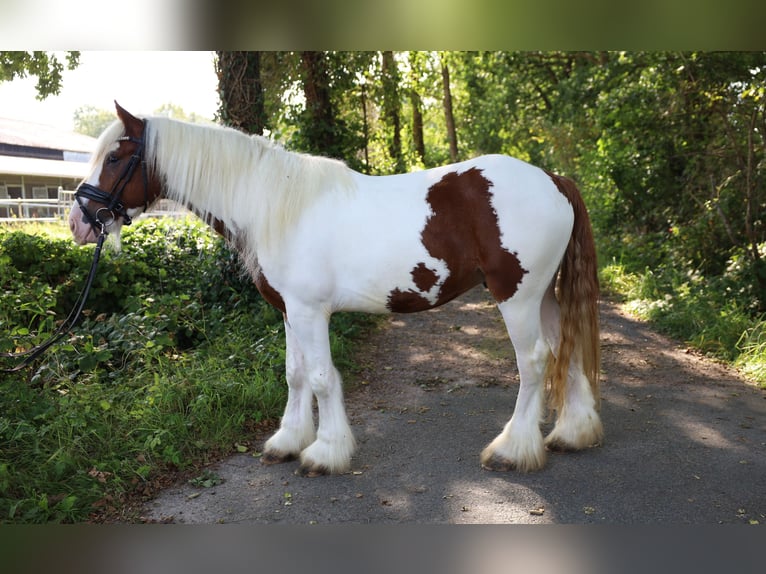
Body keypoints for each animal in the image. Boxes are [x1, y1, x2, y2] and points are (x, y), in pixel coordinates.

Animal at [69, 102, 604, 476]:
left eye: (115, 156)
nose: (78, 221)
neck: (274, 204)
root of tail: (554, 179)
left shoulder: (310, 312)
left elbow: (323, 377)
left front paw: (325, 452)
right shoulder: (289, 312)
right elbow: (294, 374)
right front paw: (287, 442)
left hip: (518, 297)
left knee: (534, 361)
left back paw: (513, 449)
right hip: (546, 295)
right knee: (567, 349)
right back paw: (572, 434)